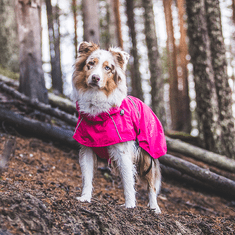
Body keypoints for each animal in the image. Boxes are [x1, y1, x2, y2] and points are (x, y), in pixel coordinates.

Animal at [70, 41, 166, 214]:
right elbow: (87, 176)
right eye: (90, 63)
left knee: (151, 185)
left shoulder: (123, 152)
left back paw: (154, 207)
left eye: (108, 68)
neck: (98, 114)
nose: (95, 77)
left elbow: (128, 181)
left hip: (147, 156)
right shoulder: (87, 148)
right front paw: (85, 197)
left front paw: (130, 205)